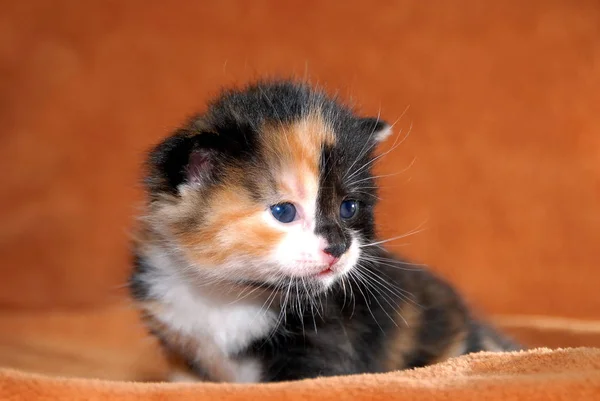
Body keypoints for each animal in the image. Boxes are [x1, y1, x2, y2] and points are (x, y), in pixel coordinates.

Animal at [127, 79, 520, 382]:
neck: (228, 294)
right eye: (284, 212)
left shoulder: (326, 346)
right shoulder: (182, 346)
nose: (339, 245)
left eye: (349, 208)